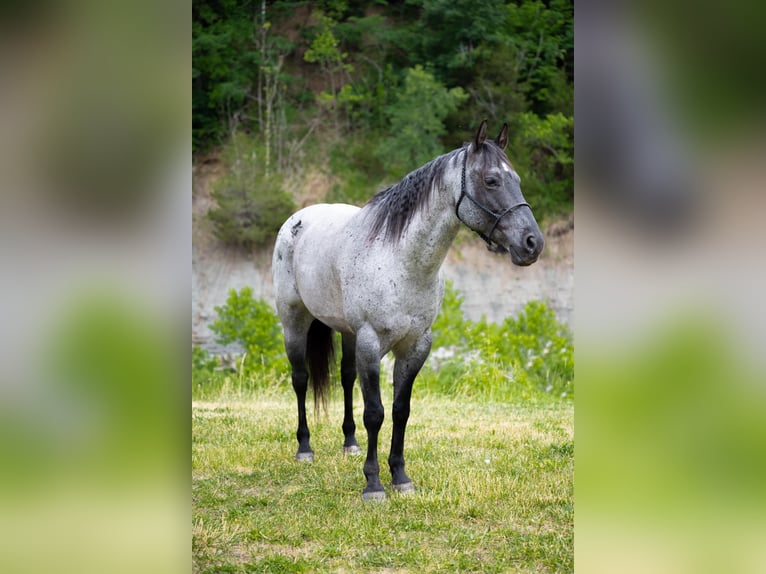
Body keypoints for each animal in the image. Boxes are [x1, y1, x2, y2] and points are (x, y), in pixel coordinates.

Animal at [272, 120, 544, 500]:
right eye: (491, 180)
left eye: (515, 178)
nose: (532, 243)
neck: (400, 260)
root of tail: (298, 218)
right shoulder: (371, 343)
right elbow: (375, 413)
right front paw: (373, 484)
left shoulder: (415, 346)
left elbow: (401, 411)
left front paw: (400, 477)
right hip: (294, 321)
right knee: (300, 379)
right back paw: (305, 448)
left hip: (347, 333)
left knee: (346, 377)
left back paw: (349, 442)